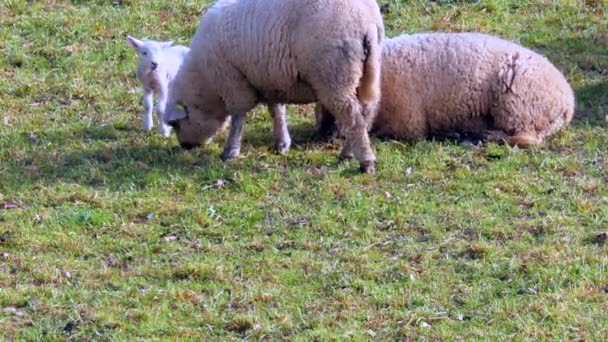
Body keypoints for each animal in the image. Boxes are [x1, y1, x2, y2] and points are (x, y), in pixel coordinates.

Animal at [164, 0, 382, 174]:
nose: (185, 146)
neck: (206, 83)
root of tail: (367, 22)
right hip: (364, 72)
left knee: (353, 119)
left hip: (335, 76)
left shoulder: (233, 82)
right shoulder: (271, 80)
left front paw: (230, 151)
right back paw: (350, 152)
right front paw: (282, 144)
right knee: (366, 113)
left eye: (176, 124)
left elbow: (237, 118)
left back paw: (363, 162)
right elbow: (277, 111)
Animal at [314, 32, 576, 148]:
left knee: (528, 139)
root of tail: (567, 103)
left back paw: (484, 136)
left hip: (520, 106)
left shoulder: (408, 122)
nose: (325, 134)